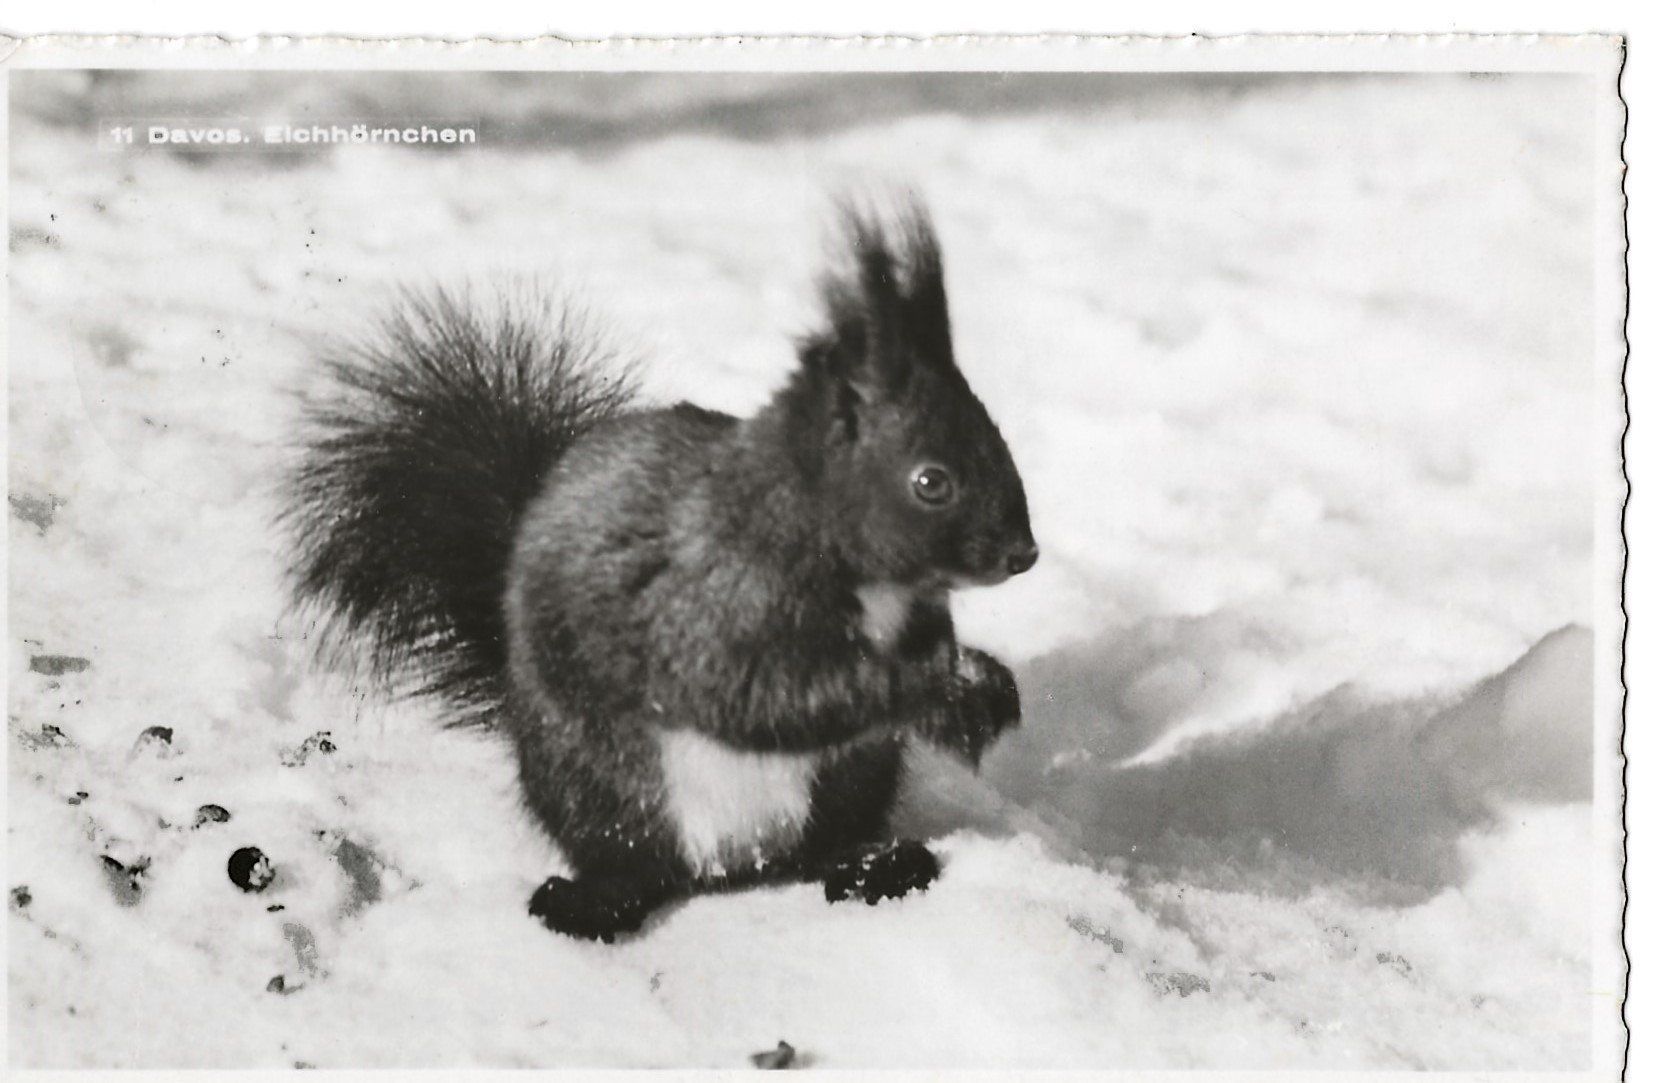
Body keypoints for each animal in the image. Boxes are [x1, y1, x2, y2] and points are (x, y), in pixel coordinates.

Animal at [283, 195, 1038, 941]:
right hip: (599, 777)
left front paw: (980, 682)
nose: (1024, 554)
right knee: (634, 864)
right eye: (931, 482)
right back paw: (590, 902)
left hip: (853, 777)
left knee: (821, 849)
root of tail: (737, 861)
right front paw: (927, 690)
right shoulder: (708, 603)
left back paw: (875, 865)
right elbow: (758, 696)